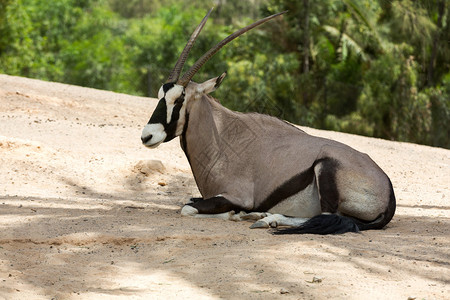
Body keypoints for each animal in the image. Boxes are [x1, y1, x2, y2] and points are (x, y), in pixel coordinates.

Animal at [140, 9, 394, 234]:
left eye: (180, 98)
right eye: (160, 95)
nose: (147, 136)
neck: (221, 139)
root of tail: (388, 191)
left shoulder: (235, 196)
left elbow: (188, 208)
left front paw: (237, 213)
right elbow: (189, 202)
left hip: (326, 168)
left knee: (325, 216)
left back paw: (265, 219)